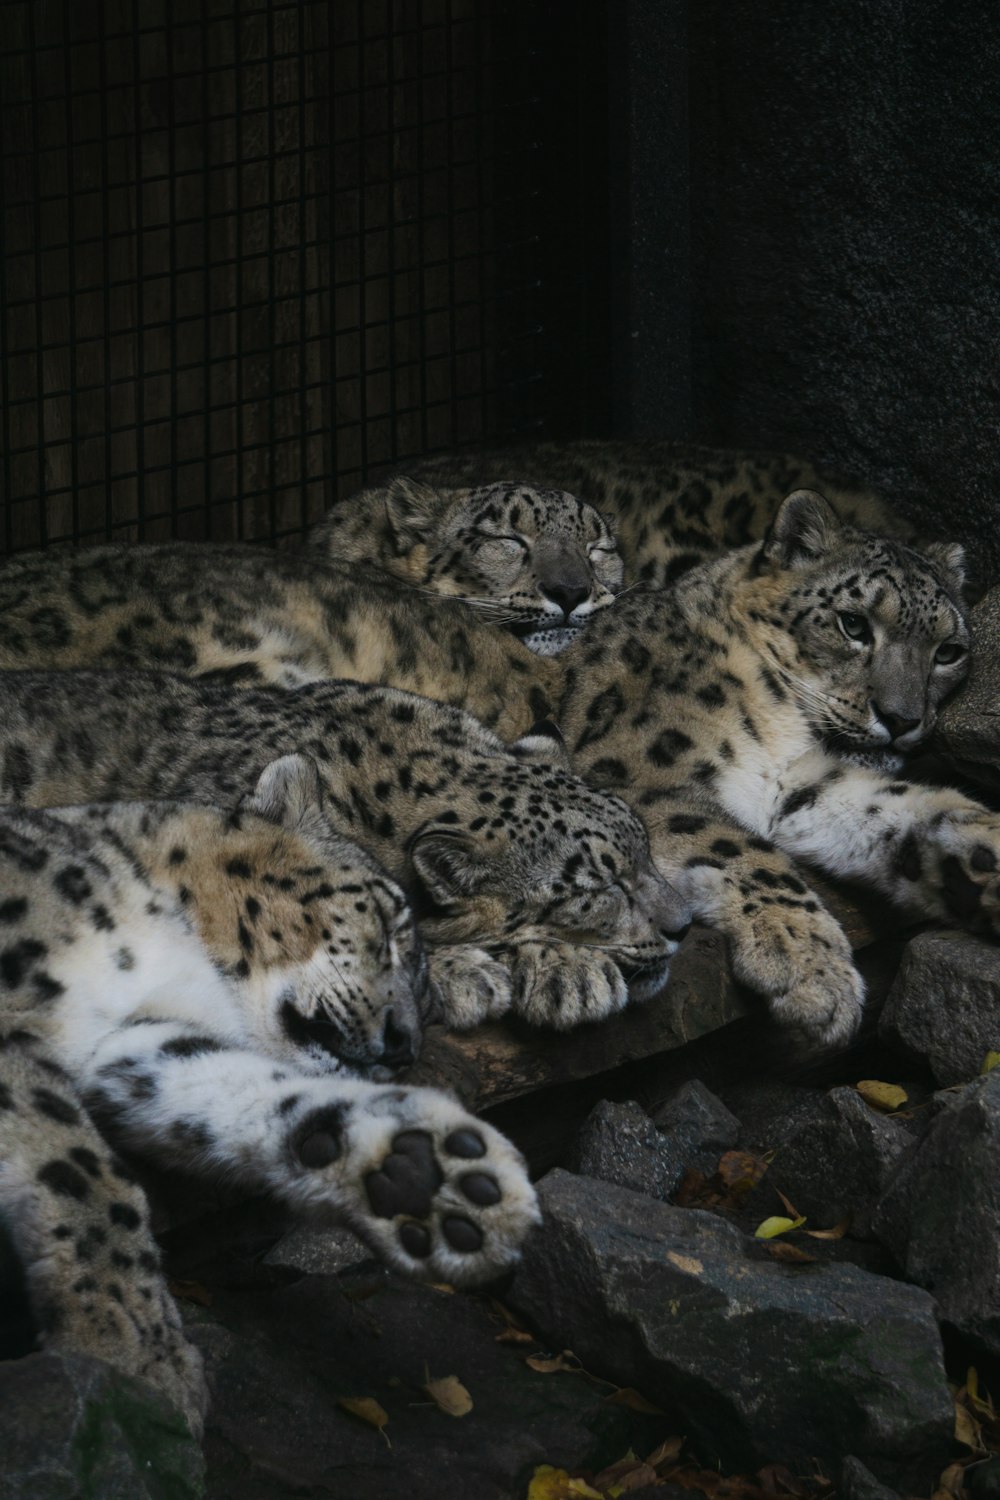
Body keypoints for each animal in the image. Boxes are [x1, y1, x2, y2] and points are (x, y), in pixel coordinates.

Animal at [0, 756, 539, 1434]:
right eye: (388, 923)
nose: (403, 1047)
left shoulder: (134, 1039)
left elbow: (239, 1090)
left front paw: (426, 1173)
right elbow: (83, 1169)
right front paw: (135, 1354)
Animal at [560, 486, 989, 1050]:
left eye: (948, 652)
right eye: (853, 624)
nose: (901, 719)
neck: (775, 726)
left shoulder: (799, 787)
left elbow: (890, 809)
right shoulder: (641, 779)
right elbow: (741, 848)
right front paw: (812, 969)